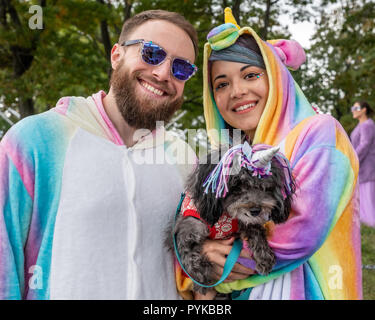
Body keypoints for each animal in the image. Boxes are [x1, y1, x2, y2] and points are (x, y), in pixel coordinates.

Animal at [168, 143, 296, 296]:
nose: (255, 210)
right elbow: (186, 253)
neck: (224, 214)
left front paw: (264, 256)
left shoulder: (243, 222)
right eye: (237, 185)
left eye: (265, 187)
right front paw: (200, 278)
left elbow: (256, 231)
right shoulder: (187, 228)